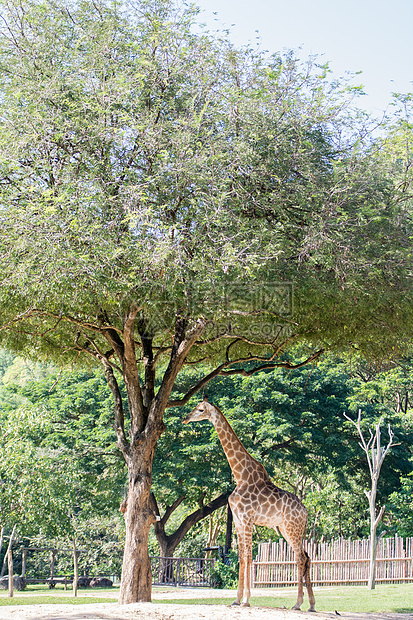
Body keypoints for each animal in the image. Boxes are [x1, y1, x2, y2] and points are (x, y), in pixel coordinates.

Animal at [182, 398, 314, 612]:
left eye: (200, 409)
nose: (185, 418)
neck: (240, 475)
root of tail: (305, 511)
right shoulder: (237, 519)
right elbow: (241, 557)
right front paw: (237, 599)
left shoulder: (247, 518)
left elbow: (249, 556)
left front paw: (246, 600)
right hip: (286, 528)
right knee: (306, 556)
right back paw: (311, 604)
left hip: (293, 527)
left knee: (300, 558)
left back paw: (298, 603)